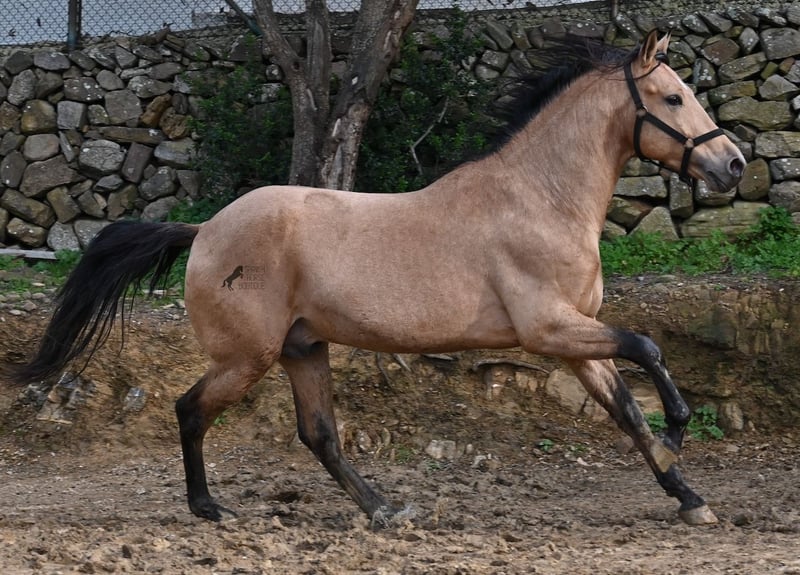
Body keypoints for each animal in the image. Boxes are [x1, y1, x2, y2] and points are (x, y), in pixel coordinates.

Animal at [12, 30, 744, 526]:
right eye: (673, 96)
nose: (733, 165)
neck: (540, 197)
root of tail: (205, 230)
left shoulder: (575, 339)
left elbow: (628, 409)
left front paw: (689, 496)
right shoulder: (550, 330)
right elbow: (648, 349)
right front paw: (679, 438)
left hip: (303, 349)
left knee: (319, 435)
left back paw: (385, 508)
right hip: (247, 356)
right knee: (191, 409)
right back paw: (209, 507)